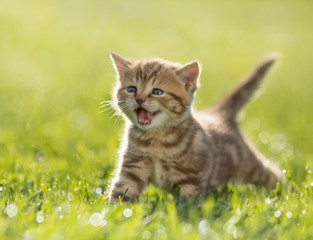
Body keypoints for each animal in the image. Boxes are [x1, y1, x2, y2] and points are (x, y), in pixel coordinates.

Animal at [106, 53, 282, 202]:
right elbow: (122, 191)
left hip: (249, 165)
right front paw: (114, 212)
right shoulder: (132, 168)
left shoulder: (191, 178)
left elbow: (187, 202)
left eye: (157, 92)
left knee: (271, 174)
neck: (156, 139)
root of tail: (219, 115)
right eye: (132, 89)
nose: (139, 99)